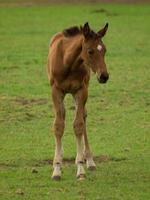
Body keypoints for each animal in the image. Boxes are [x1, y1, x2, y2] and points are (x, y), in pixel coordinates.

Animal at [47, 22, 109, 181]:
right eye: (90, 51)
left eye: (104, 50)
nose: (104, 76)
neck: (68, 62)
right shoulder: (56, 91)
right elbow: (58, 125)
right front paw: (57, 168)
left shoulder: (81, 91)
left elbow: (79, 125)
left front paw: (81, 168)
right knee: (62, 116)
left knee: (82, 116)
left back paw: (89, 160)